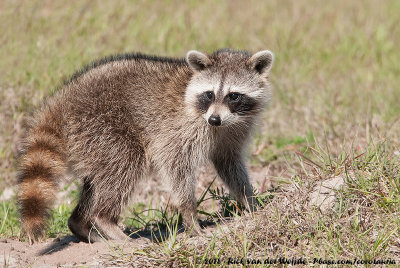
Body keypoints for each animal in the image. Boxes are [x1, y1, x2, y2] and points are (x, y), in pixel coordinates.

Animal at [16, 48, 272, 243]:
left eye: (233, 96)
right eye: (209, 94)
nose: (214, 120)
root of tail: (62, 100)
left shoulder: (234, 130)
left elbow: (229, 162)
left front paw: (249, 201)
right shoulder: (181, 128)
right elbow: (174, 162)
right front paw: (189, 213)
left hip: (92, 143)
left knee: (100, 180)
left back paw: (82, 223)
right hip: (101, 126)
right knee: (125, 164)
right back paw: (104, 220)